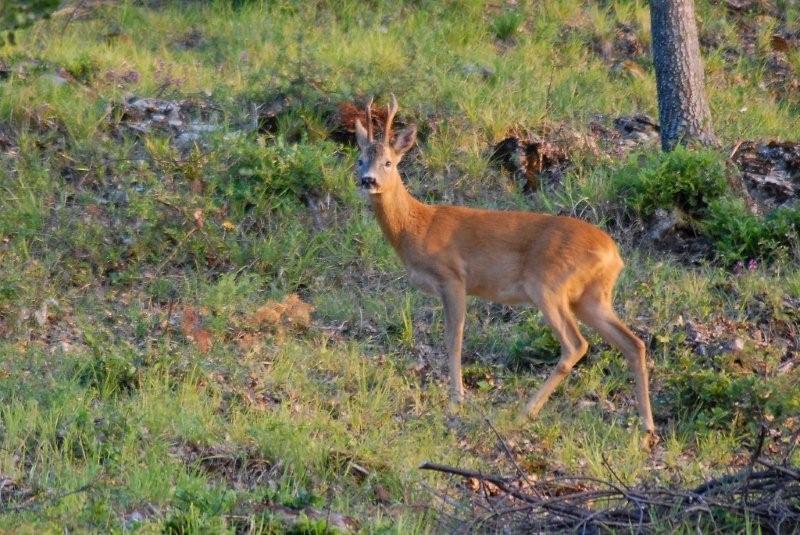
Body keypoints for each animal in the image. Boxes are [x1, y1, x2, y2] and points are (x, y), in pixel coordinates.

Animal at [356, 96, 656, 440]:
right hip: (590, 297)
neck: (418, 226)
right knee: (633, 343)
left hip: (549, 285)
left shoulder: (453, 277)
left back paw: (527, 410)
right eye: (360, 160)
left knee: (576, 344)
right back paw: (647, 424)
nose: (368, 180)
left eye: (389, 162)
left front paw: (456, 400)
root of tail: (614, 255)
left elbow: (454, 338)